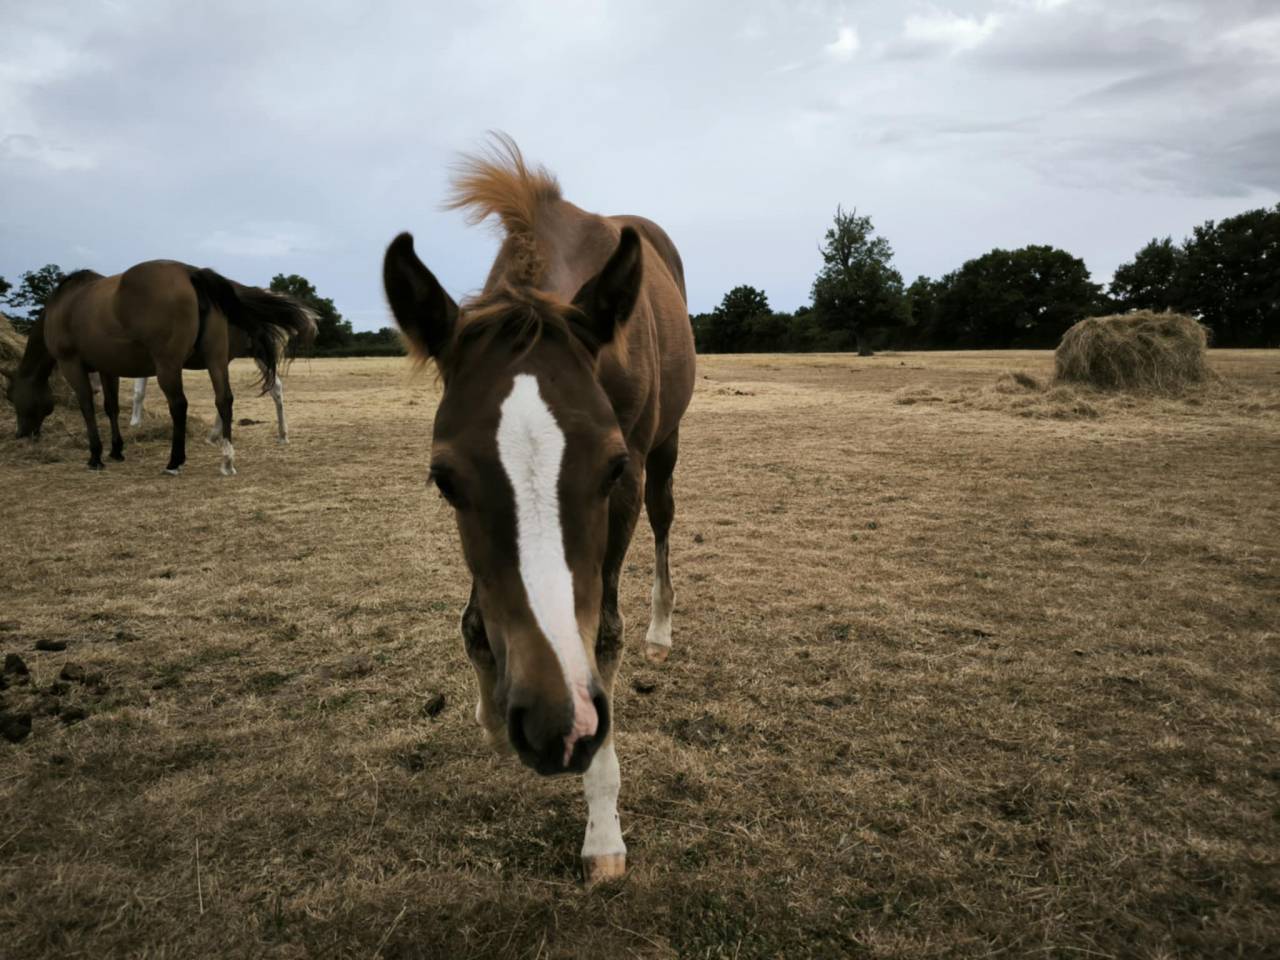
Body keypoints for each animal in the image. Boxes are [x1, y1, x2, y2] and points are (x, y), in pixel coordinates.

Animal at [383, 135, 696, 883]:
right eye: (444, 480)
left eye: (611, 469)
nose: (557, 726)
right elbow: (476, 620)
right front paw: (493, 718)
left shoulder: (630, 482)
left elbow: (603, 634)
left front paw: (603, 830)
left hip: (668, 445)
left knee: (666, 523)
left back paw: (661, 630)